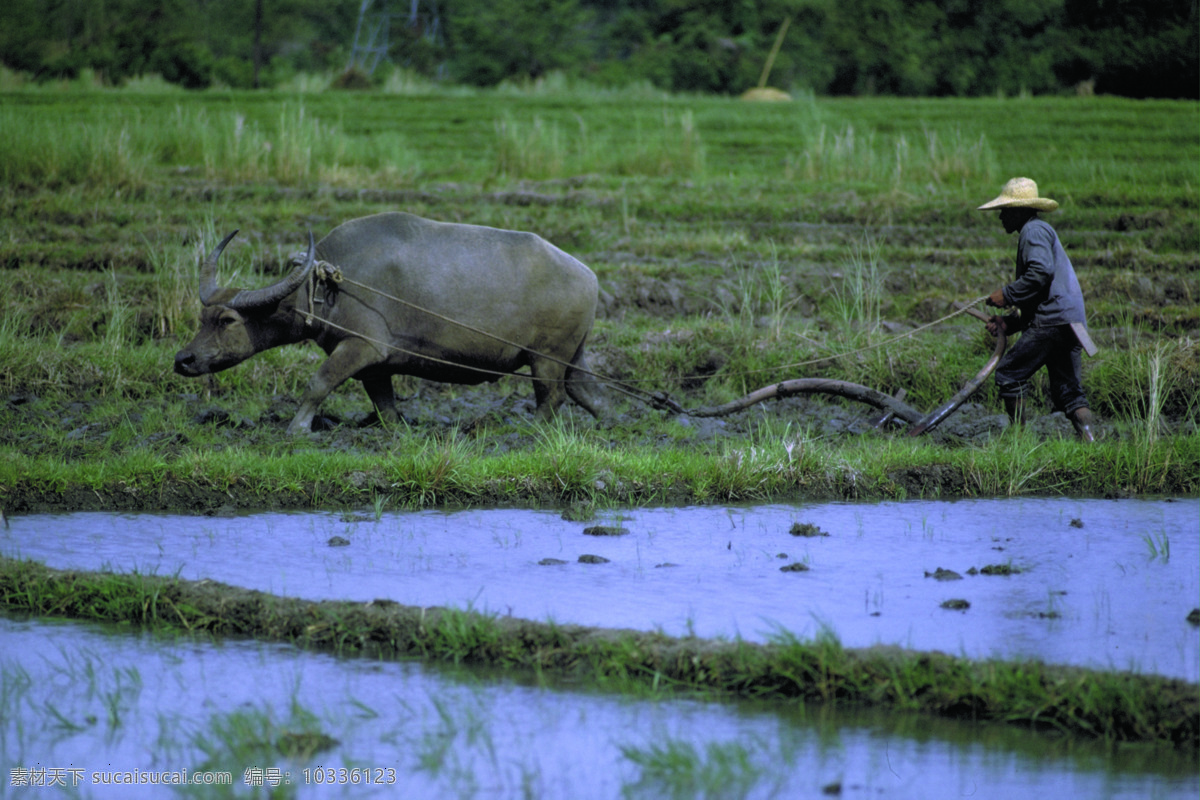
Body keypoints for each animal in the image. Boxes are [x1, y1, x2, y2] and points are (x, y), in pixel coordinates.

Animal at [175, 212, 609, 434]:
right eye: (203, 317)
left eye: (228, 319)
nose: (184, 360)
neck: (330, 287)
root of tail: (588, 276)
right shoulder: (374, 365)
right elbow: (383, 404)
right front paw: (397, 432)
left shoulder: (361, 346)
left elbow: (319, 382)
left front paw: (297, 428)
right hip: (571, 357)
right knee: (586, 393)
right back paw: (611, 424)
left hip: (546, 358)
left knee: (552, 398)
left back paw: (532, 432)